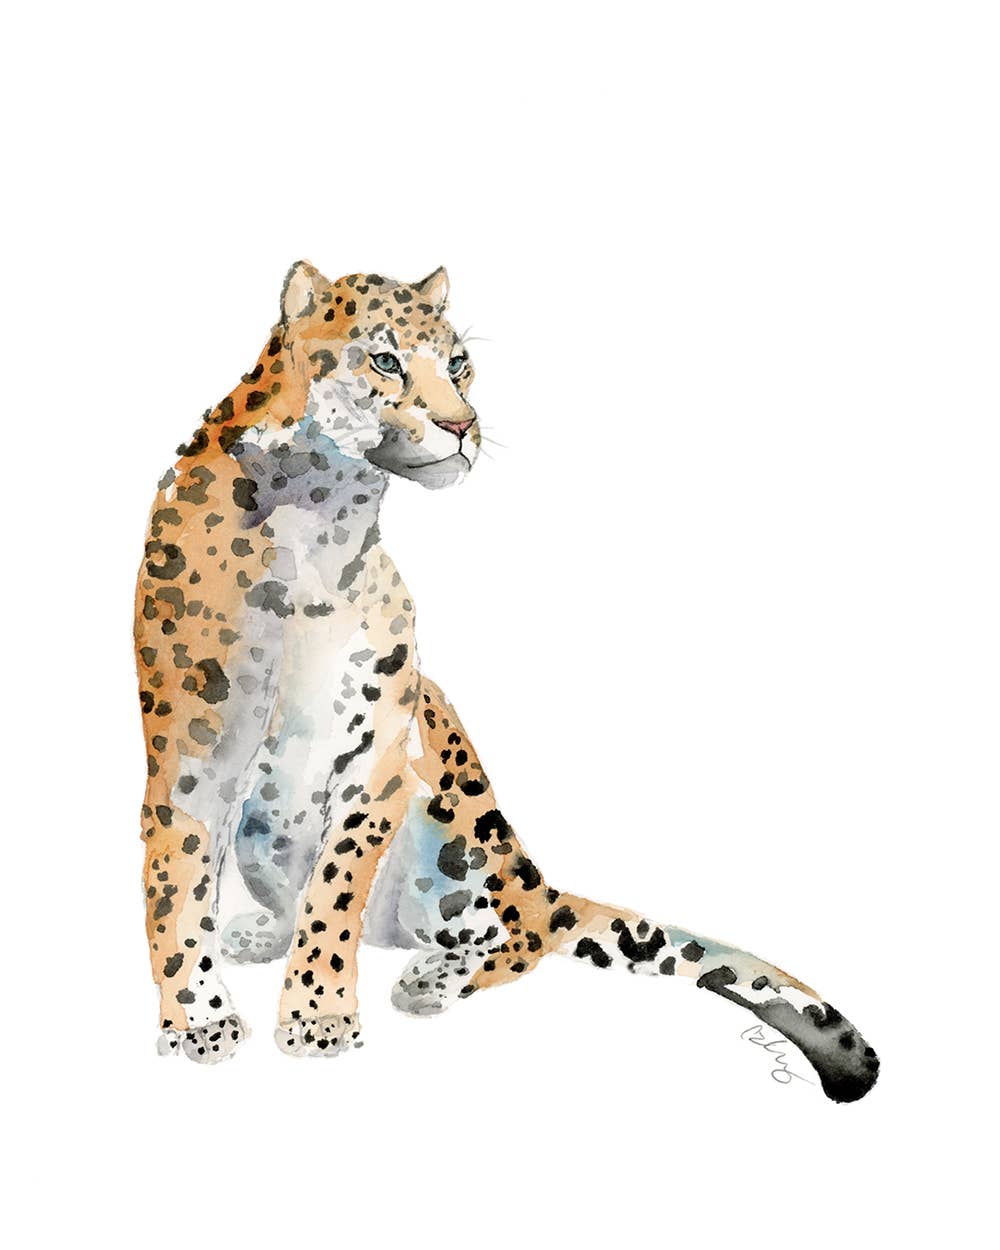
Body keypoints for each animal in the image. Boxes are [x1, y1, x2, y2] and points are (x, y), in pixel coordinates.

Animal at [134, 260, 879, 1101]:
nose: (463, 426)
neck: (320, 521)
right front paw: (199, 1021)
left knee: (514, 936)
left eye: (460, 364)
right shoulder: (192, 752)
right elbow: (176, 885)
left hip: (452, 813)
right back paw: (264, 931)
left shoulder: (378, 754)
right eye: (384, 360)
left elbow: (336, 891)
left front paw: (318, 1015)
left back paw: (427, 977)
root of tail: (535, 878)